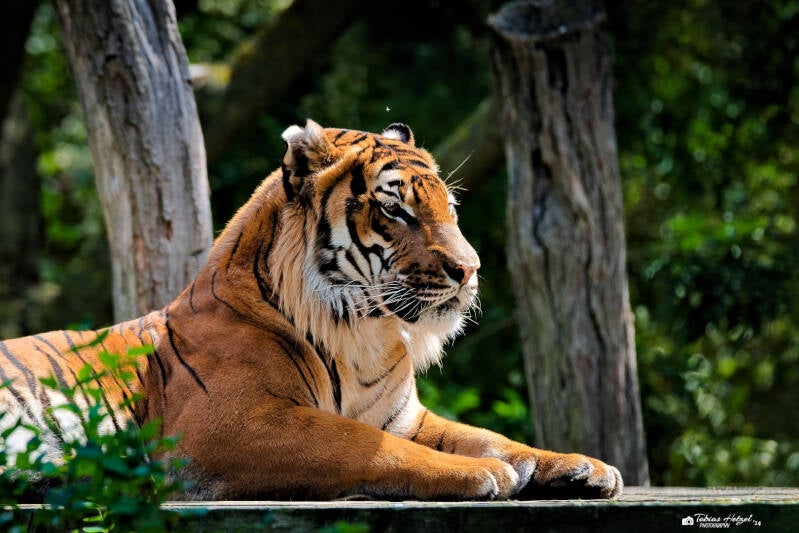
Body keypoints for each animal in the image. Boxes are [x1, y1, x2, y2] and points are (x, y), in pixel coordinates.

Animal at [0, 120, 623, 500]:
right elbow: (364, 448)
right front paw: (484, 474)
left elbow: (491, 436)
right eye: (396, 210)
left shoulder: (404, 416)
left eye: (451, 207)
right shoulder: (226, 425)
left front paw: (581, 466)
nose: (469, 270)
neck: (364, 335)